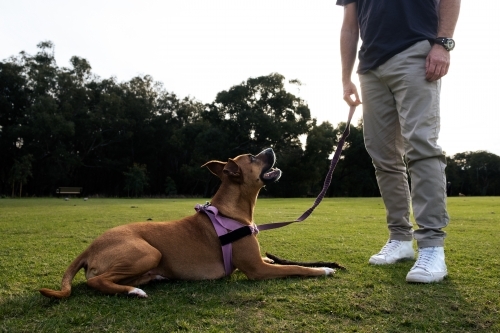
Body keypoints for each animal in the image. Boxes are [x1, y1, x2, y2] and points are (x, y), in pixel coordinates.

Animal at [40, 148, 336, 298]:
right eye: (253, 158)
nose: (271, 148)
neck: (230, 211)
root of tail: (89, 248)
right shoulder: (256, 270)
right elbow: (296, 267)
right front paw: (323, 269)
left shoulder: (259, 262)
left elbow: (279, 261)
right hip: (147, 252)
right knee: (97, 281)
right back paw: (133, 291)